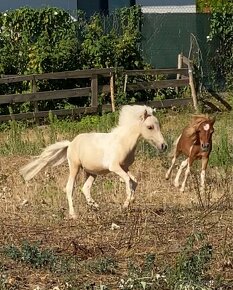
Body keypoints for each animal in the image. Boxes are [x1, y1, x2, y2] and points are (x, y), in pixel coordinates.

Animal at [19, 104, 166, 218]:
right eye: (150, 127)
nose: (164, 146)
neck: (123, 142)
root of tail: (70, 144)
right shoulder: (115, 167)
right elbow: (128, 180)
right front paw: (127, 202)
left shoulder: (125, 167)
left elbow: (134, 181)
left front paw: (128, 203)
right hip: (75, 167)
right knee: (70, 188)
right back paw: (73, 214)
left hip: (91, 172)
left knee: (85, 188)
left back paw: (94, 205)